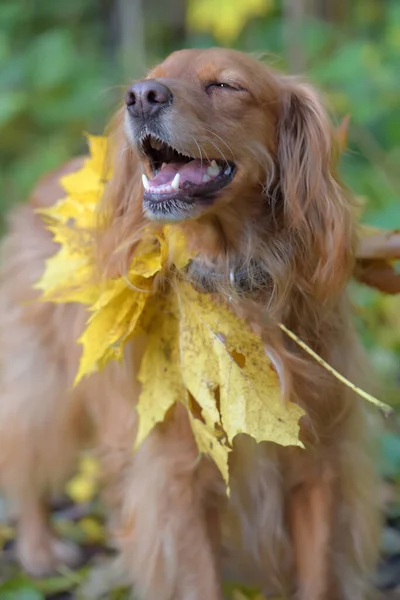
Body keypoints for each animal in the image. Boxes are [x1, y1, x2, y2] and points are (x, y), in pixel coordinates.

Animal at [0, 48, 380, 600]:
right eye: (151, 78)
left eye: (225, 86)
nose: (141, 96)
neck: (231, 283)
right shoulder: (178, 479)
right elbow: (197, 579)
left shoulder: (318, 464)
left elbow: (319, 577)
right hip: (42, 383)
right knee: (24, 460)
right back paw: (39, 547)